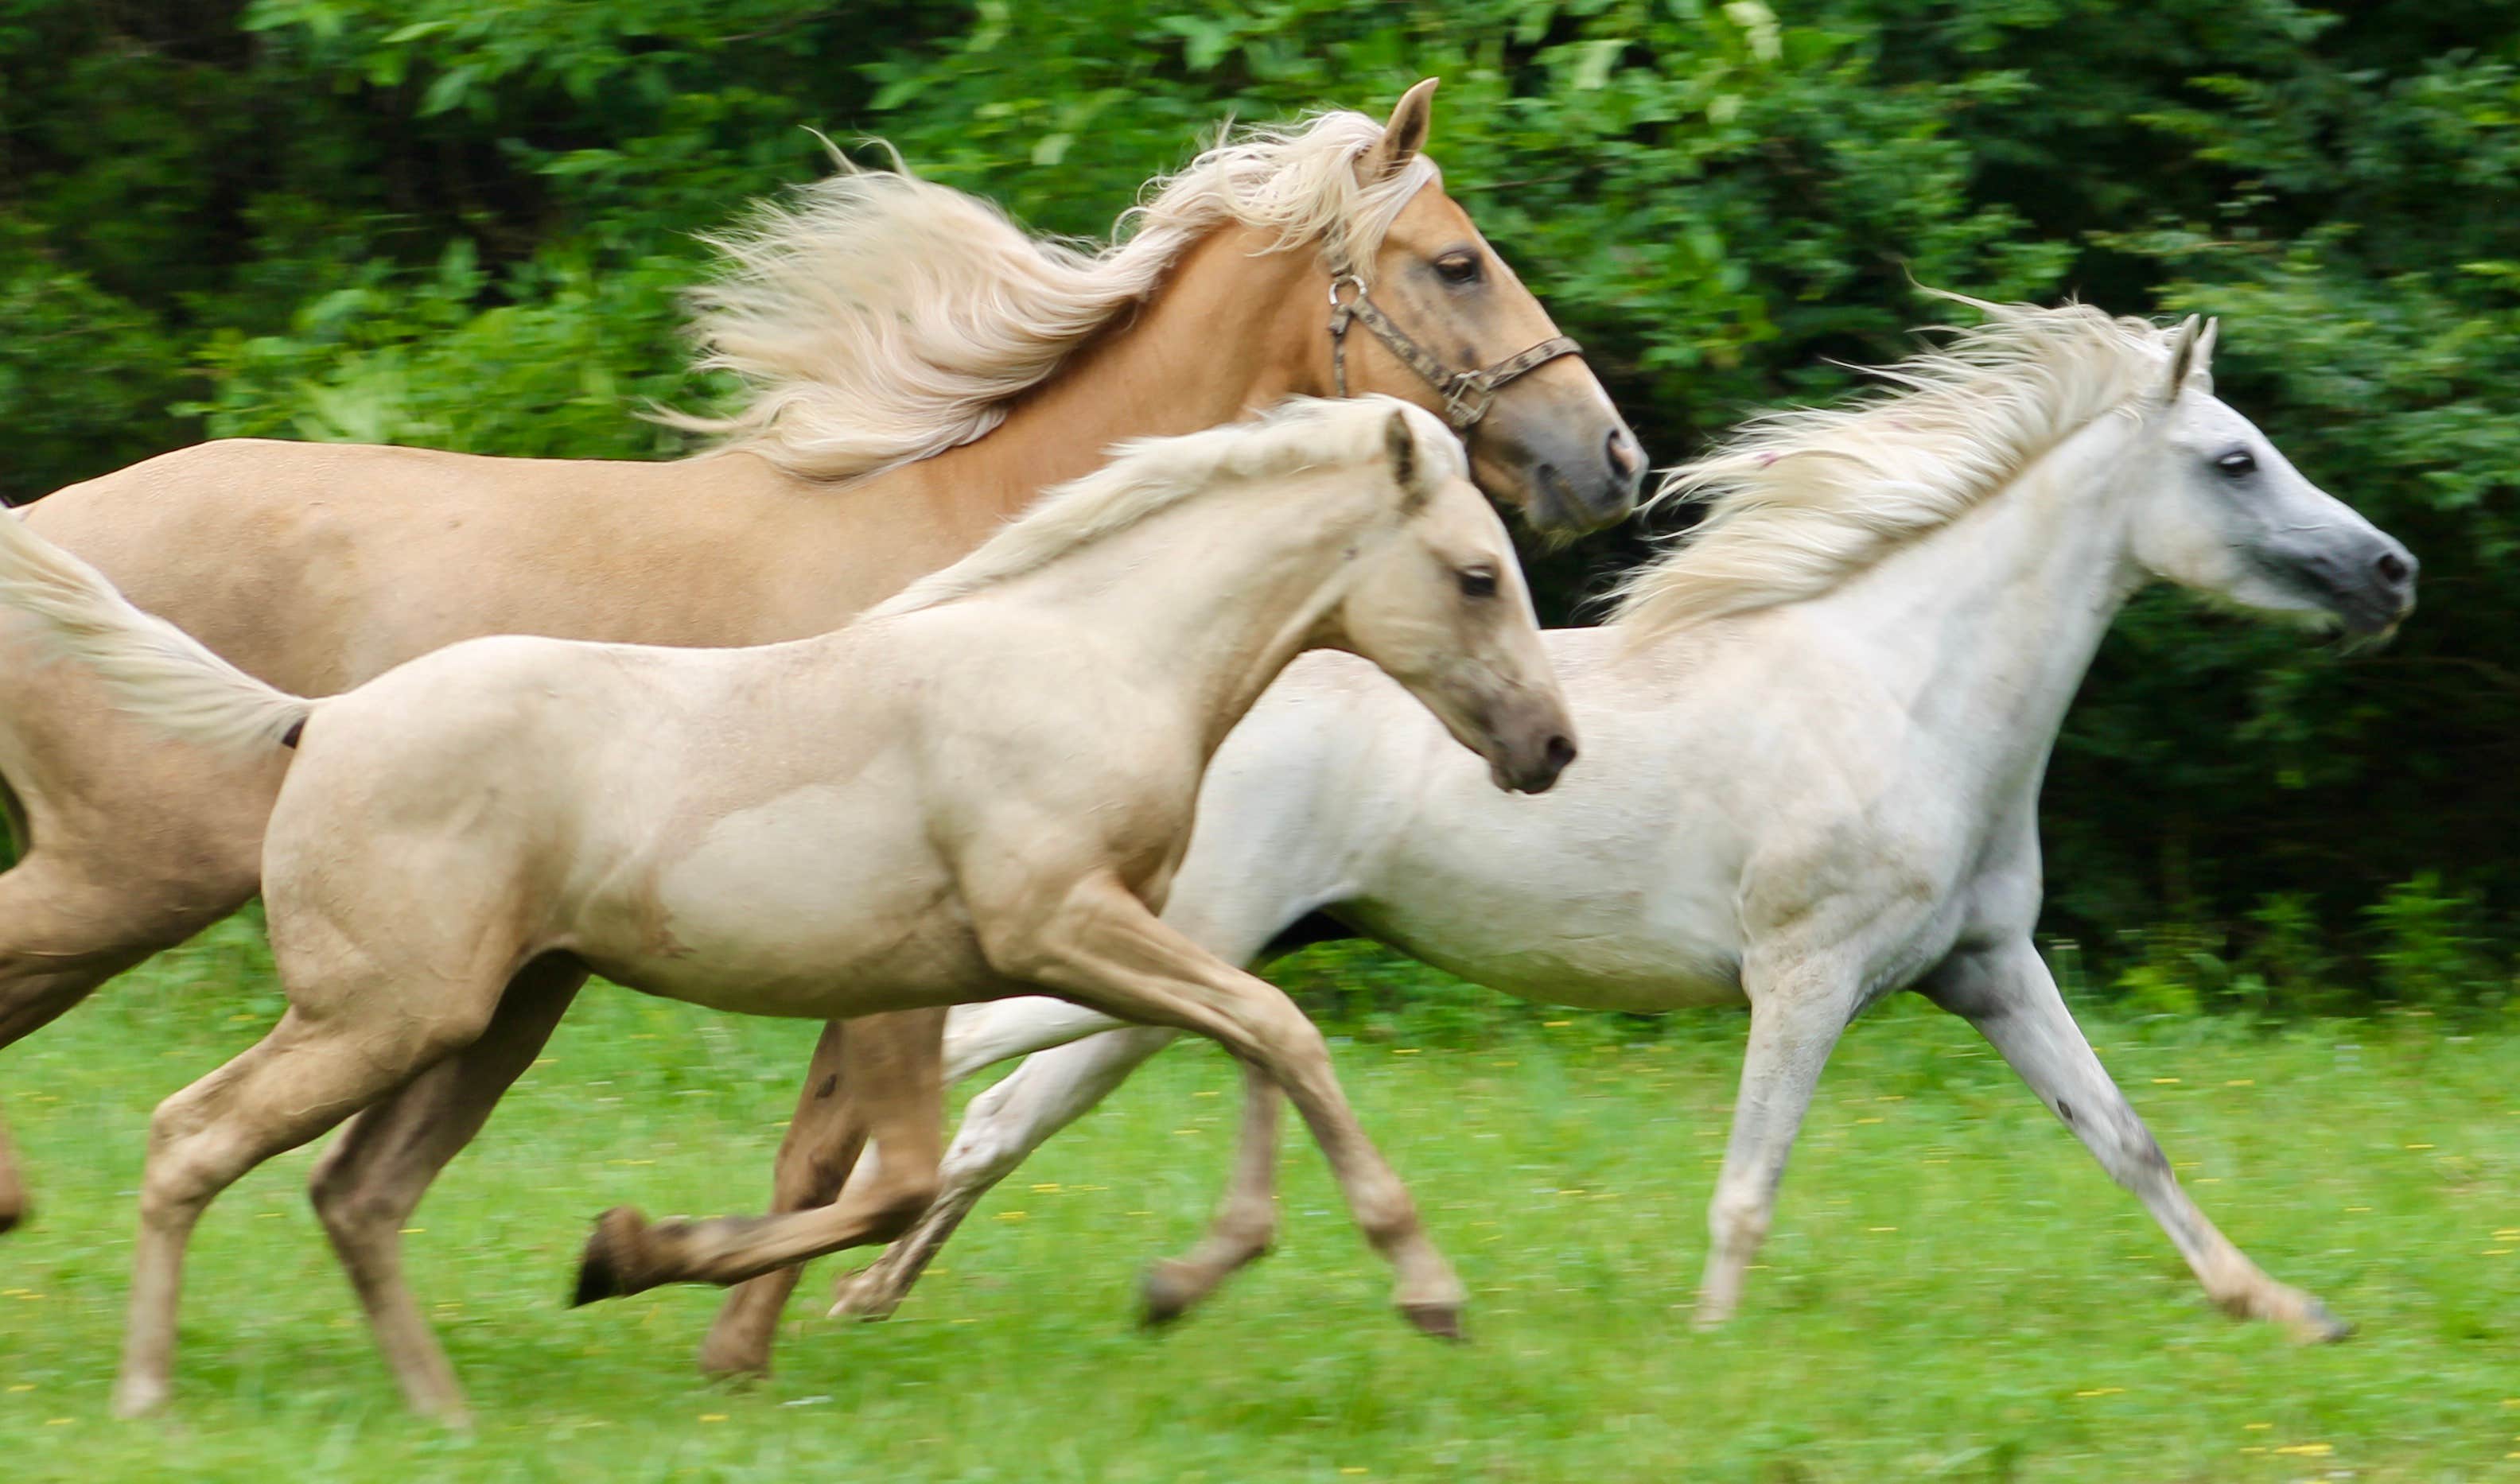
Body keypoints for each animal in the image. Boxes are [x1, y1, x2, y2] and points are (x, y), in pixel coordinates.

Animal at [0, 81, 1643, 1237]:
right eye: (1456, 264)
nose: (1609, 458)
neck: (1022, 553)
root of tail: (44, 523)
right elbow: (831, 1162)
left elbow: (823, 1163)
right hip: (128, 872)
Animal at [0, 396, 1576, 1421]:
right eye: (1474, 573)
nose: (1551, 748)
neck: (1082, 652)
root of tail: (317, 718)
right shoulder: (1051, 927)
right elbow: (1260, 1030)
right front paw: (1423, 1287)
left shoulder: (971, 968)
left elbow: (1233, 1041)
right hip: (380, 1011)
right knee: (193, 1135)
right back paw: (148, 1397)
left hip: (488, 1019)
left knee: (357, 1192)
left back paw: (443, 1414)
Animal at [800, 301, 2414, 1345]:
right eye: (2233, 460)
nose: (2390, 572)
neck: (1897, 686)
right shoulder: (1805, 979)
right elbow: (1750, 1185)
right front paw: (1710, 1351)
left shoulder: (1987, 970)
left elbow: (2128, 1141)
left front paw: (2285, 1309)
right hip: (1174, 941)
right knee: (988, 1087)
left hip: (1189, 959)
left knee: (1003, 1102)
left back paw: (875, 1292)